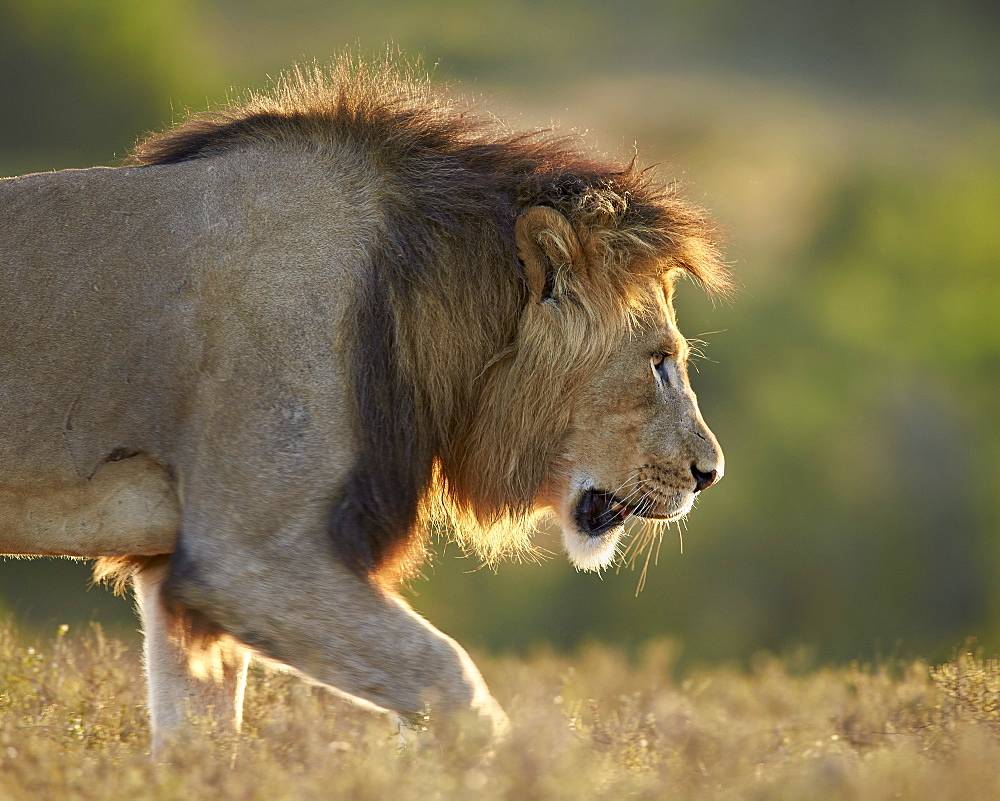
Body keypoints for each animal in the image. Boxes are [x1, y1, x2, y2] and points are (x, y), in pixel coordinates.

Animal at [3, 59, 732, 752]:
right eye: (660, 361)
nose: (710, 474)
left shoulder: (182, 571)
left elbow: (197, 738)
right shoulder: (247, 559)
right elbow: (450, 676)